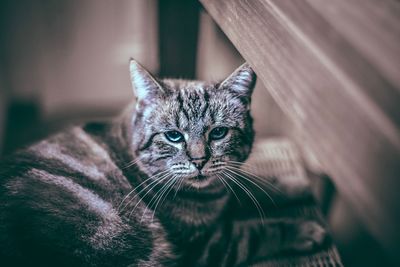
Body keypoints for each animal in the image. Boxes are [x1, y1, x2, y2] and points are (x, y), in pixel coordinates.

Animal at [0, 60, 326, 267]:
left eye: (218, 132)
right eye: (173, 136)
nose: (199, 160)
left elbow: (254, 188)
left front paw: (295, 183)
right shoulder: (202, 247)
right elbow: (257, 232)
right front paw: (306, 229)